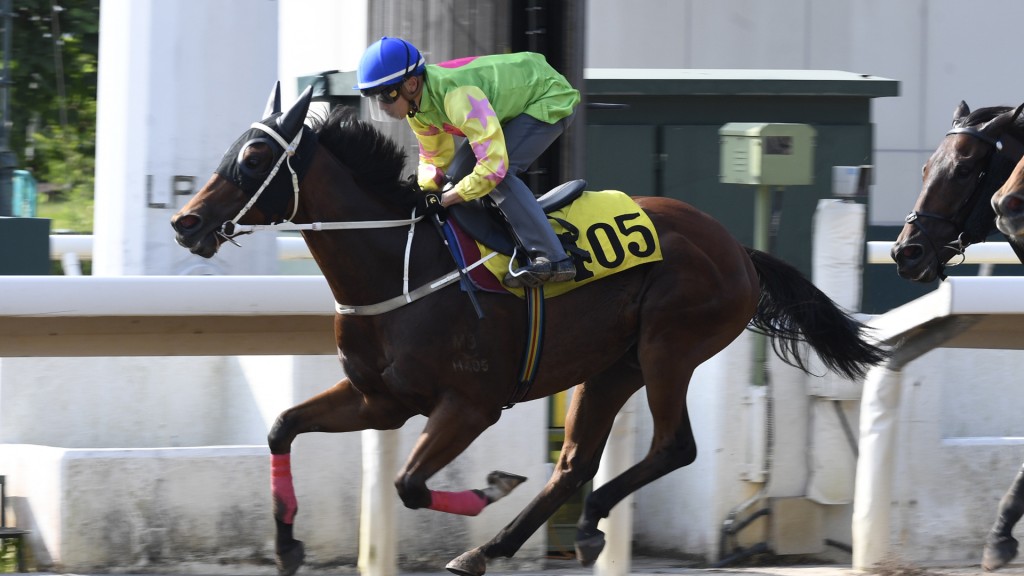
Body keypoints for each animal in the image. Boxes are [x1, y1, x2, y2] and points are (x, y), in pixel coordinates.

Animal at [169, 85, 888, 573]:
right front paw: (287, 542)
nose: (185, 222)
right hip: (612, 367)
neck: (400, 266)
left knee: (673, 448)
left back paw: (565, 525)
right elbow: (282, 427)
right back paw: (513, 543)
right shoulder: (380, 400)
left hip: (669, 347)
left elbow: (408, 485)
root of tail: (738, 248)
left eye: (254, 154)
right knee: (574, 465)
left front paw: (489, 488)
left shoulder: (470, 404)